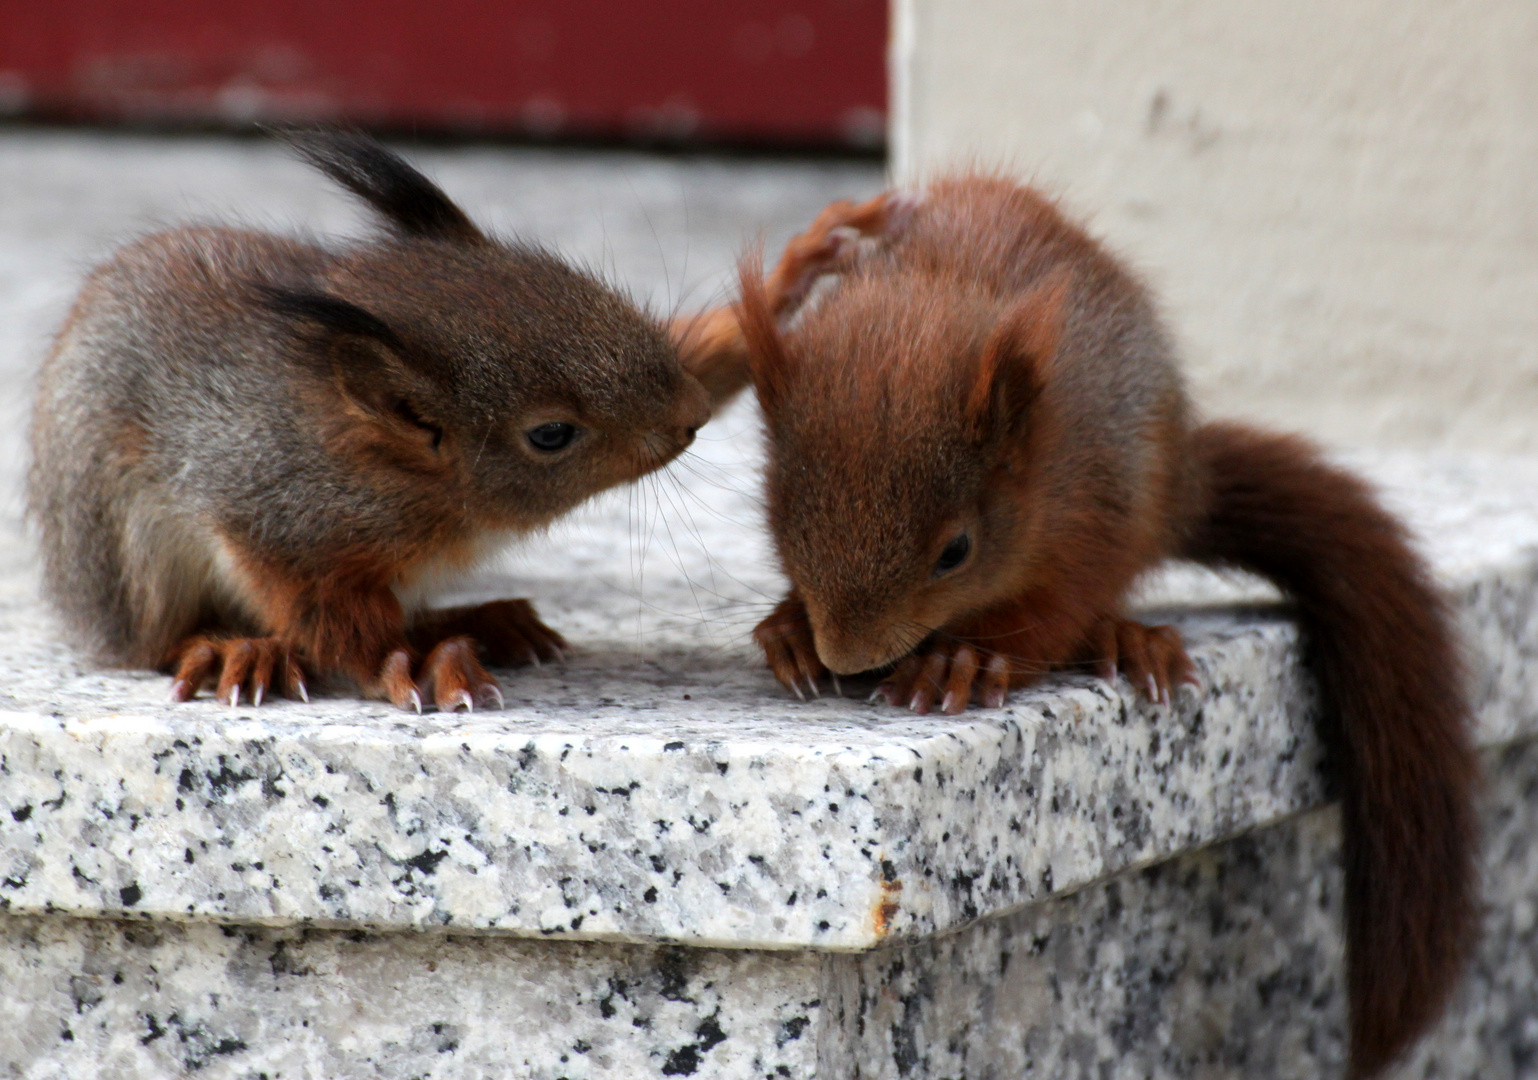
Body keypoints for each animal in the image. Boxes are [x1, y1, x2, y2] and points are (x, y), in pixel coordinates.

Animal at [24, 130, 842, 713]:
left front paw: (795, 274)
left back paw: (483, 623)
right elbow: (329, 619)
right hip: (127, 550)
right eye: (550, 434)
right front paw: (403, 667)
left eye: (577, 284)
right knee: (152, 642)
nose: (690, 417)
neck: (409, 478)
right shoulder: (280, 521)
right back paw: (237, 649)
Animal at [738, 177, 1482, 1080]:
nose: (851, 657)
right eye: (778, 515)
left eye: (956, 551)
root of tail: (1192, 478)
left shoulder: (1096, 510)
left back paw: (1128, 638)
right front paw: (790, 630)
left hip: (1150, 492)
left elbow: (1053, 613)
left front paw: (962, 660)